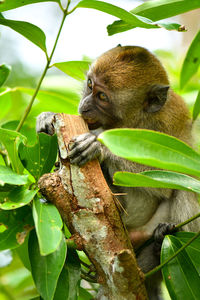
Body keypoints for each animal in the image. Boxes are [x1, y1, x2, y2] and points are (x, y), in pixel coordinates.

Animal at [36, 45, 200, 298]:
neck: (134, 120)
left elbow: (171, 175)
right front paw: (46, 119)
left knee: (186, 187)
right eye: (90, 85)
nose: (84, 106)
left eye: (102, 97)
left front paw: (99, 147)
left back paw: (159, 245)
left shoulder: (167, 124)